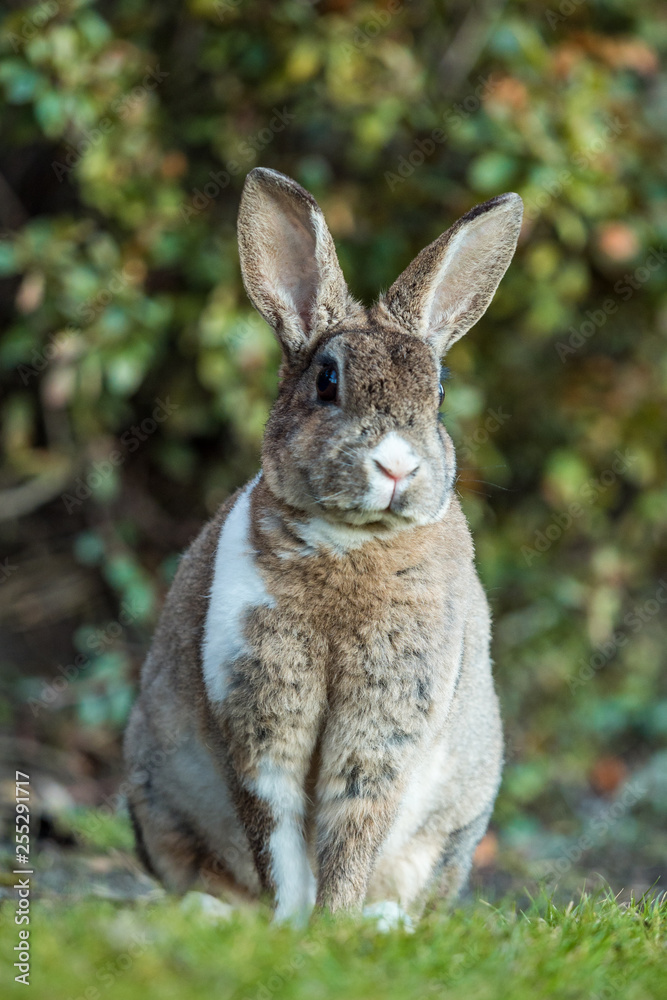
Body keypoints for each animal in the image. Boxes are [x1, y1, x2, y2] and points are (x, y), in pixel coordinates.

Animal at [123, 167, 523, 925]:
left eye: (438, 394)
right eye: (326, 381)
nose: (396, 466)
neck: (352, 542)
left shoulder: (386, 724)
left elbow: (353, 822)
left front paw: (333, 925)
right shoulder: (256, 708)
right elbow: (276, 825)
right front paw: (292, 926)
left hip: (453, 825)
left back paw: (385, 922)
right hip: (157, 798)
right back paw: (214, 913)